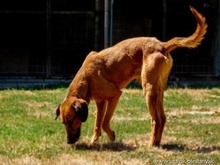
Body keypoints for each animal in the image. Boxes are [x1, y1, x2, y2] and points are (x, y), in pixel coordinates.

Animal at [55, 7, 206, 147]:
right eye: (63, 122)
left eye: (71, 120)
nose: (69, 142)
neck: (86, 77)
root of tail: (162, 45)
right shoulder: (100, 102)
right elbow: (97, 125)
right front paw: (93, 142)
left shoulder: (115, 96)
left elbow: (104, 123)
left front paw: (112, 136)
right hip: (159, 91)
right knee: (162, 118)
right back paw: (156, 143)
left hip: (148, 90)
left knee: (156, 119)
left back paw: (150, 144)